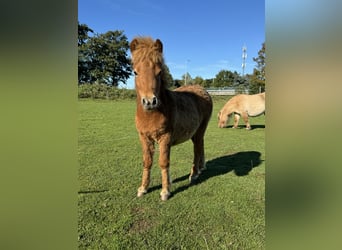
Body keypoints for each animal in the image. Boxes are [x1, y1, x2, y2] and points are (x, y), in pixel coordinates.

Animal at [130, 36, 212, 201]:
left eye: (159, 72)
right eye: (135, 72)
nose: (150, 101)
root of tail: (204, 91)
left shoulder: (165, 137)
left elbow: (163, 162)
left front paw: (165, 191)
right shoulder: (144, 137)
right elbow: (147, 162)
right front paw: (143, 188)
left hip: (200, 130)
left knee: (197, 149)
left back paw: (194, 175)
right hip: (194, 133)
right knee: (200, 146)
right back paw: (200, 169)